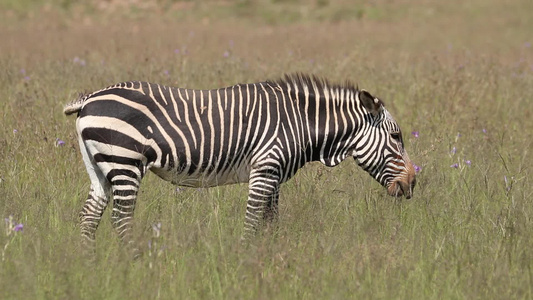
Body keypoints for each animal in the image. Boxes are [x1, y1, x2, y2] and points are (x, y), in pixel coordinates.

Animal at [63, 74, 416, 254]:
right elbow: (252, 222)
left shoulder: (274, 175)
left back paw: (89, 264)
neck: (300, 123)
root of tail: (90, 97)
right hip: (124, 161)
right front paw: (246, 263)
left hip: (100, 167)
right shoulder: (265, 168)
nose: (412, 184)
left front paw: (270, 260)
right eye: (397, 136)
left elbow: (271, 224)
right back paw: (133, 265)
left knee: (89, 217)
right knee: (120, 221)